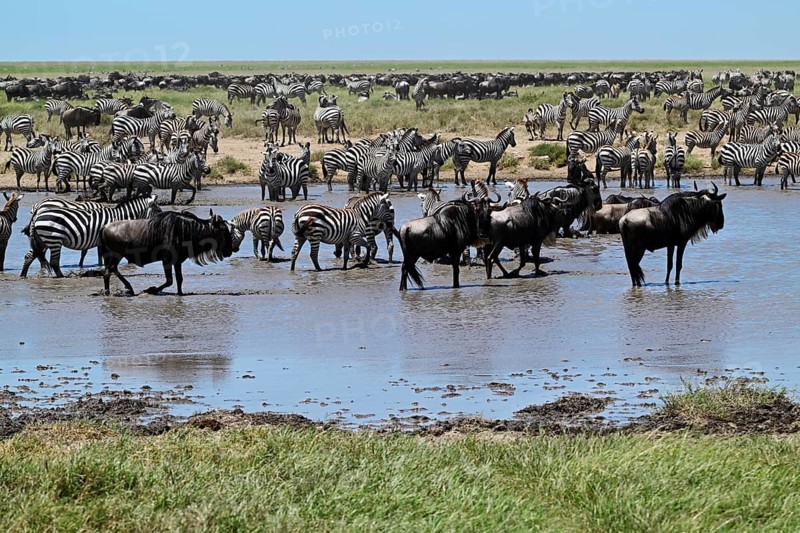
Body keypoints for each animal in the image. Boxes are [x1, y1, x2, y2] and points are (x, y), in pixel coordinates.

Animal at [21, 194, 160, 278]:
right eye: (158, 211)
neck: (120, 218)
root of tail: (37, 215)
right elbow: (107, 257)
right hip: (54, 240)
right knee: (54, 262)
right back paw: (62, 277)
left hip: (42, 240)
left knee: (29, 256)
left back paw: (23, 275)